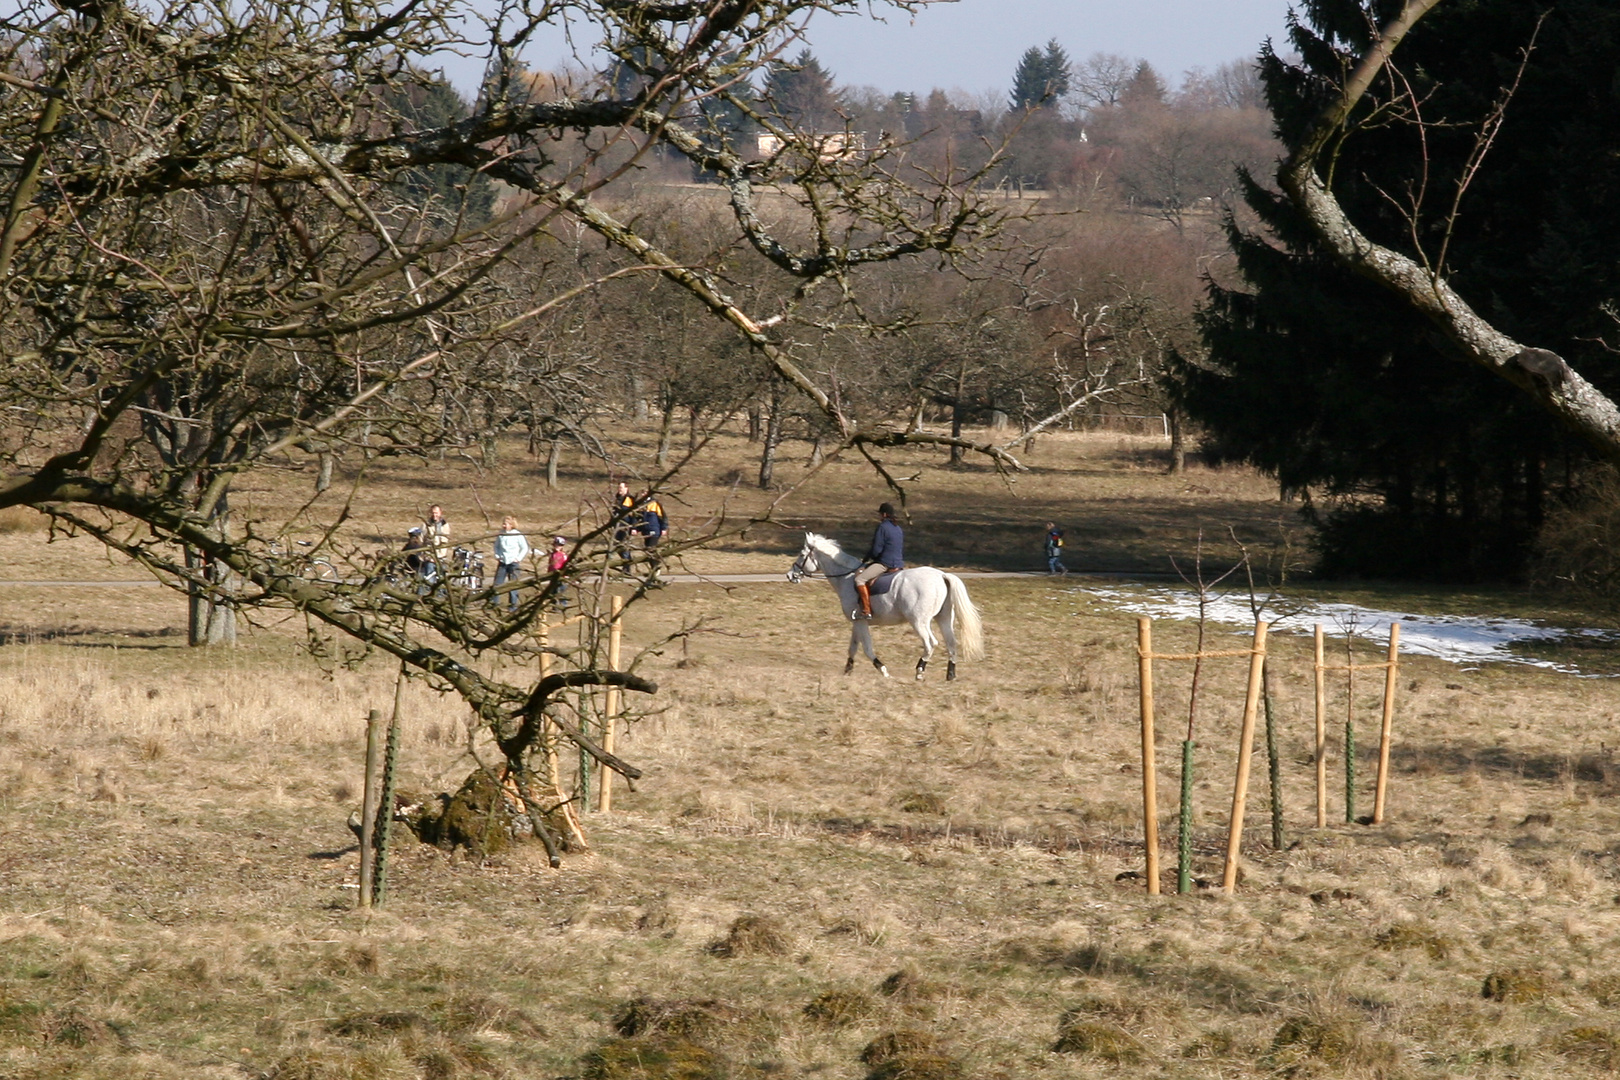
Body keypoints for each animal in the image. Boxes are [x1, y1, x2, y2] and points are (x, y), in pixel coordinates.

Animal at [787, 534, 984, 680]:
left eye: (802, 554)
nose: (790, 575)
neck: (846, 577)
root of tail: (942, 575)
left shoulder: (860, 621)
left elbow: (867, 648)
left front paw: (883, 670)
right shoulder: (857, 621)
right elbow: (853, 647)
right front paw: (847, 670)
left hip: (919, 621)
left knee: (930, 643)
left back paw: (920, 671)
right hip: (944, 618)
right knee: (951, 643)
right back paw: (950, 675)